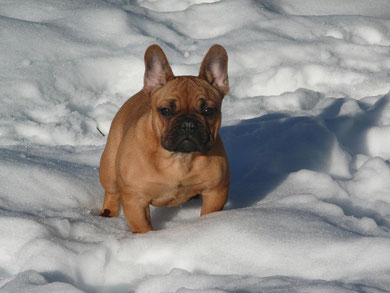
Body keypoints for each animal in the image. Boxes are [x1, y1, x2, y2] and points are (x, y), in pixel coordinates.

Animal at [99, 44, 230, 233]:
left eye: (208, 111)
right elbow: (143, 227)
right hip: (109, 167)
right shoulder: (135, 199)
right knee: (112, 192)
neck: (179, 158)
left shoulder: (216, 192)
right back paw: (108, 215)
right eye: (166, 111)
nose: (188, 124)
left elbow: (208, 213)